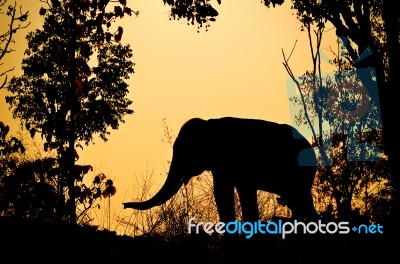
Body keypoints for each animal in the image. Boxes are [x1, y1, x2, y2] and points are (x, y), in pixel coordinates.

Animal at [123, 117, 318, 223]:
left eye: (184, 150)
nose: (124, 205)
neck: (209, 124)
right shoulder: (220, 166)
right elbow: (222, 192)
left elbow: (237, 192)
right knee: (298, 202)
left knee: (300, 201)